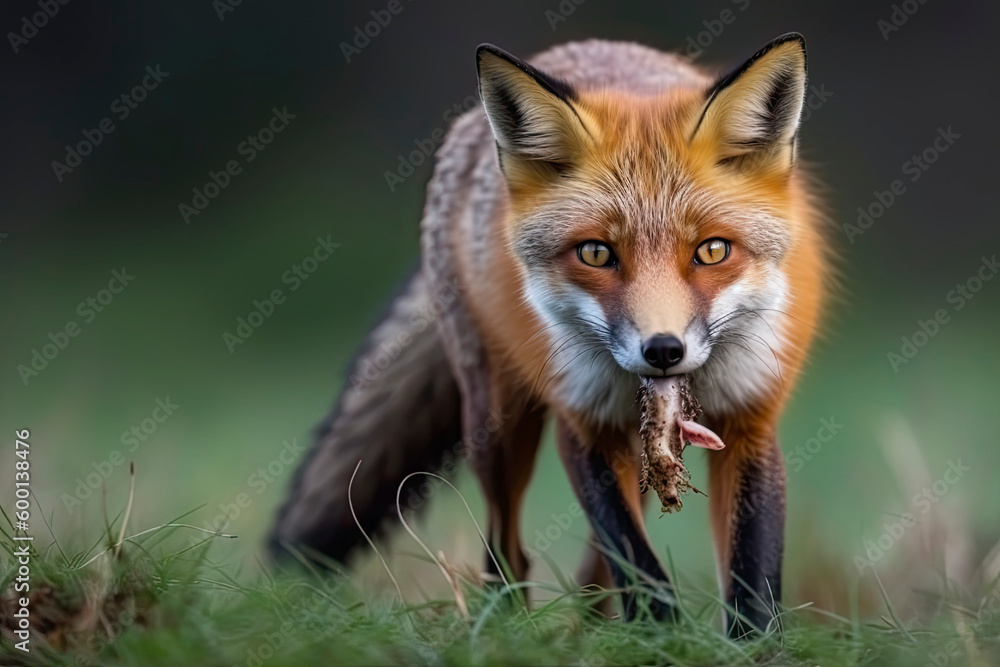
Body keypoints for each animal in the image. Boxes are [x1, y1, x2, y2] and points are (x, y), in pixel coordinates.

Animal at [270, 34, 829, 635]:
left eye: (713, 250)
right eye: (596, 254)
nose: (663, 351)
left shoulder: (750, 419)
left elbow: (753, 568)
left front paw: (750, 644)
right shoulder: (582, 422)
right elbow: (636, 559)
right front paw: (663, 635)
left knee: (592, 570)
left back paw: (591, 626)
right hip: (495, 427)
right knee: (508, 549)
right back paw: (505, 624)